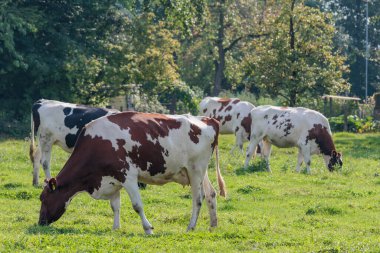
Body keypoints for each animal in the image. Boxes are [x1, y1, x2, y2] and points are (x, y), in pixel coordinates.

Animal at [38, 111, 226, 234]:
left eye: (43, 199)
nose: (40, 222)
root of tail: (208, 119)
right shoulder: (112, 178)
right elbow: (115, 206)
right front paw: (115, 228)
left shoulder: (128, 176)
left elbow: (137, 205)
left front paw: (148, 228)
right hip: (199, 172)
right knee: (211, 194)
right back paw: (213, 225)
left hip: (196, 170)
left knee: (198, 199)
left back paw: (191, 227)